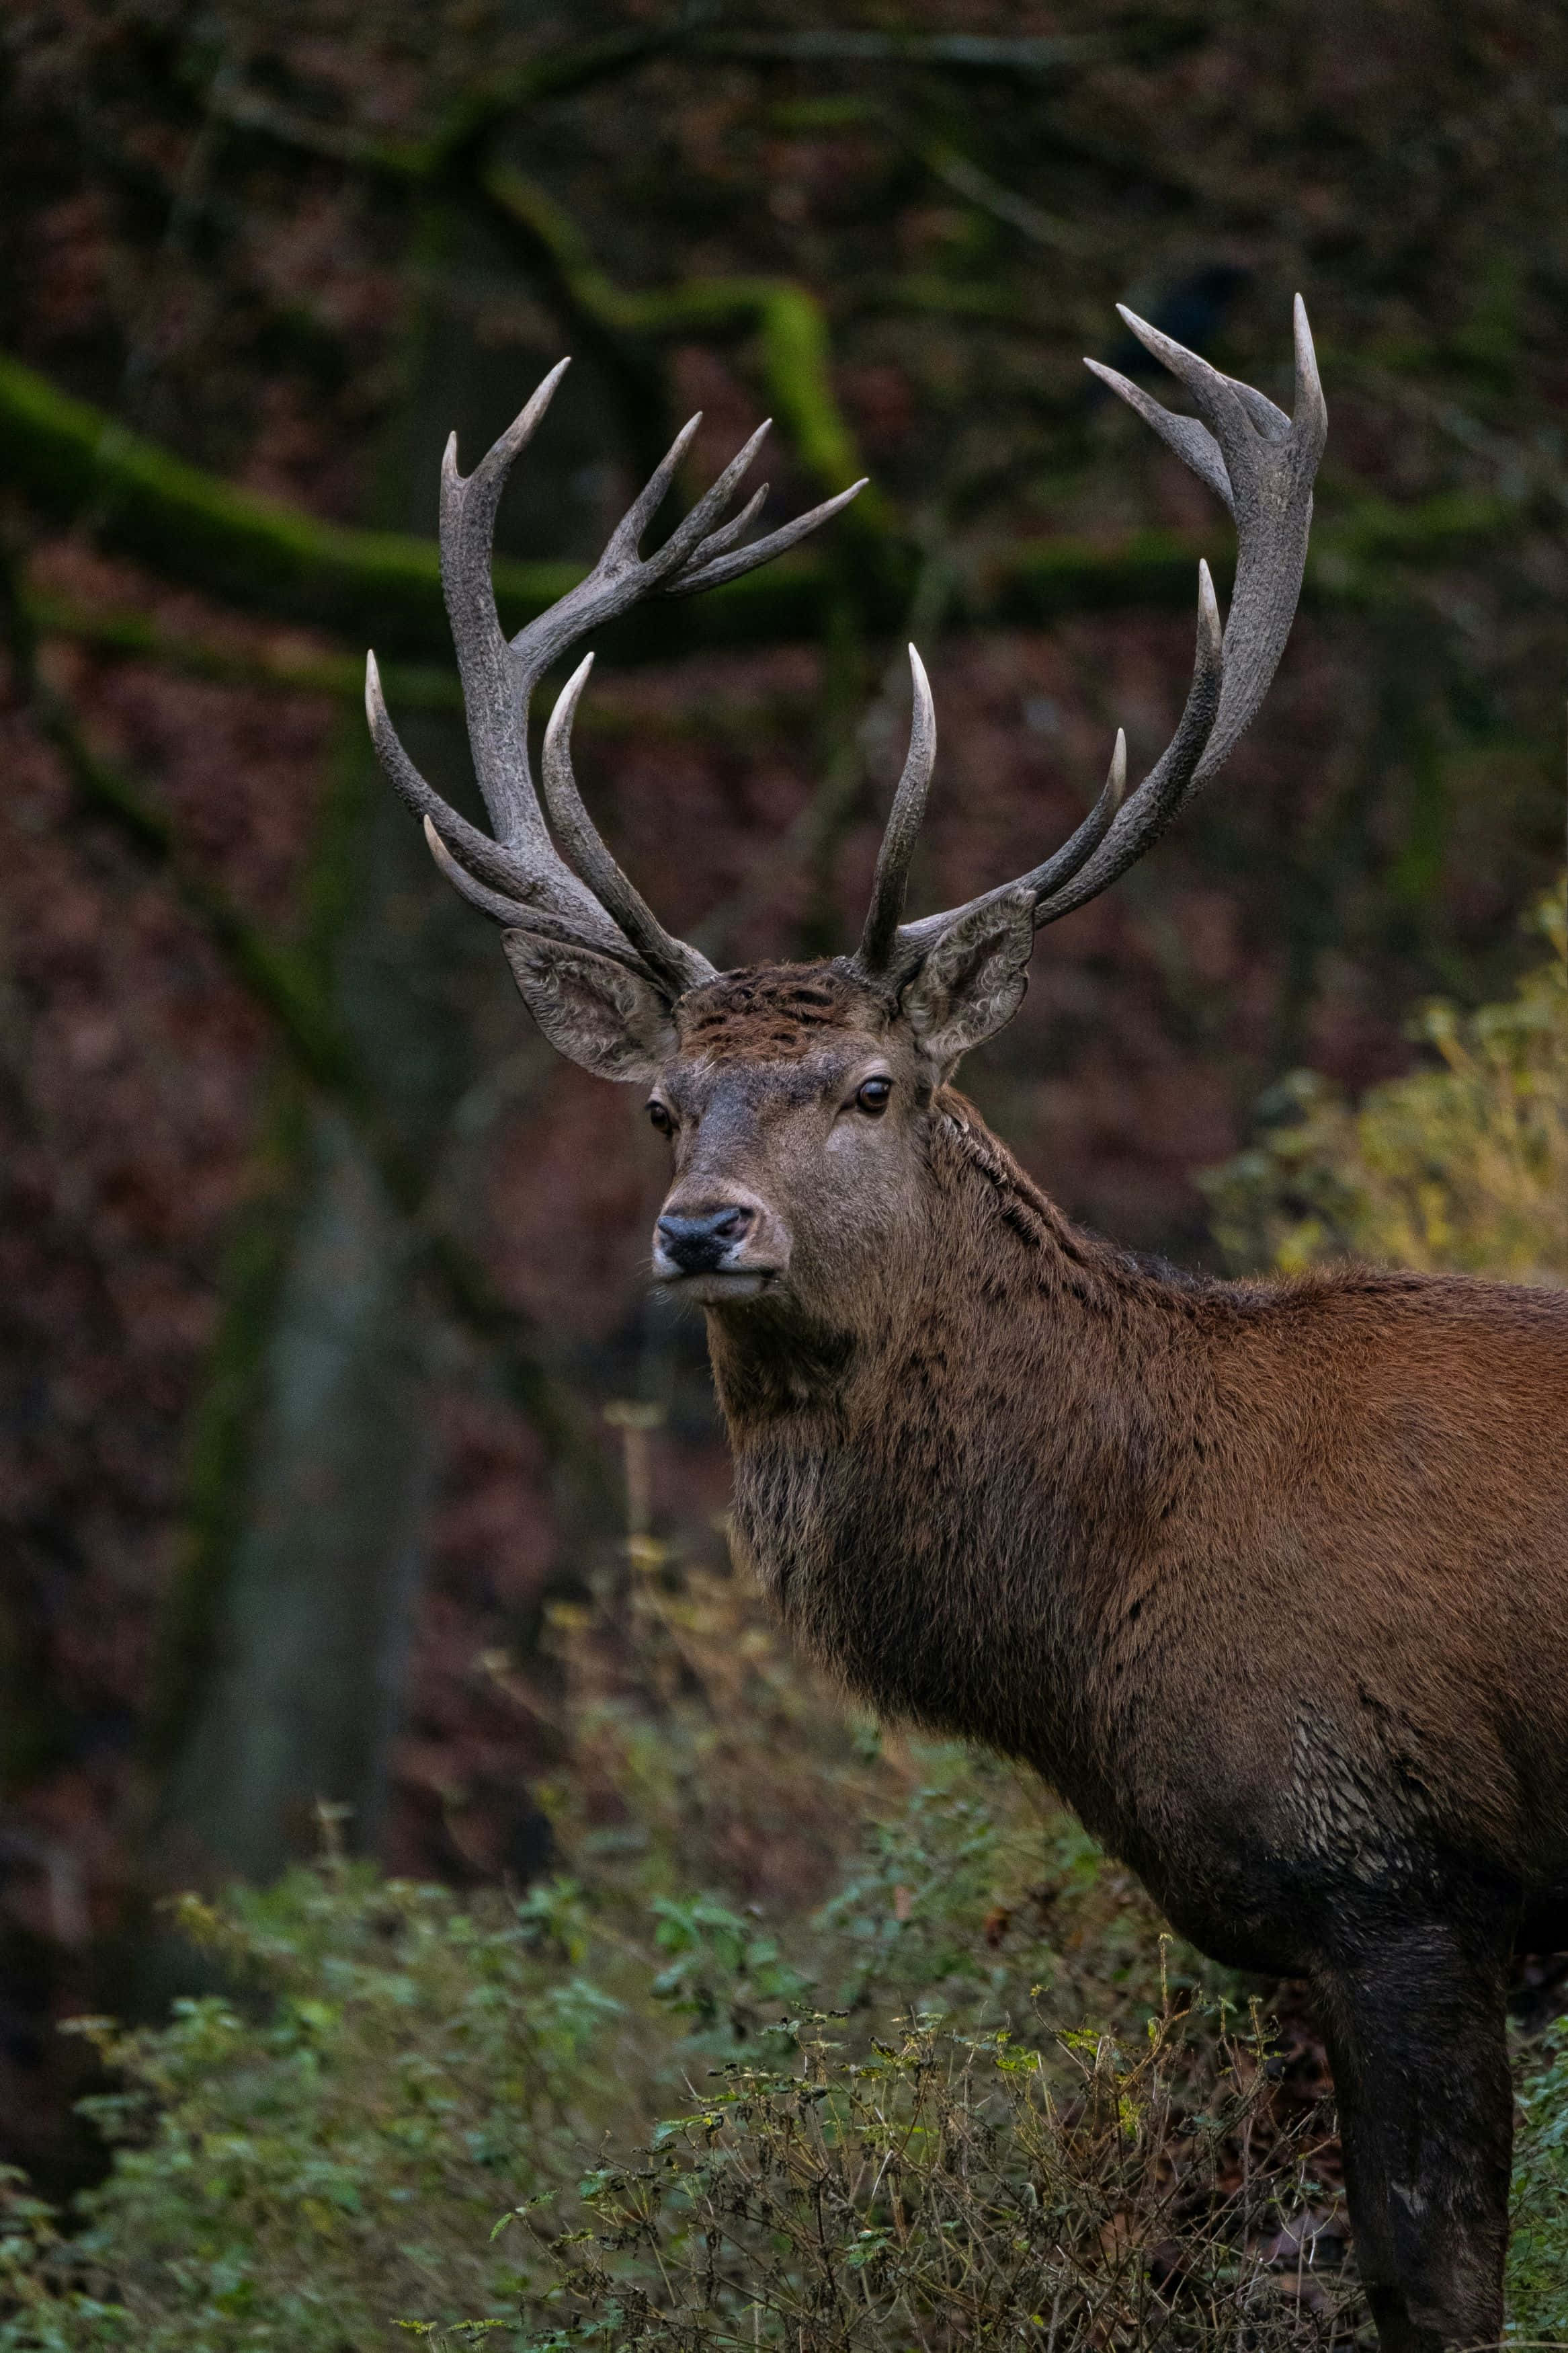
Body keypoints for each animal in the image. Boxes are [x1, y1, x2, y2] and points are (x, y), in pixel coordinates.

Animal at [365, 302, 1568, 2353]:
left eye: (868, 1086)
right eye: (660, 1104)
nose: (700, 1230)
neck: (1103, 1605)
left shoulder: (1400, 1875)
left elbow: (1434, 2286)